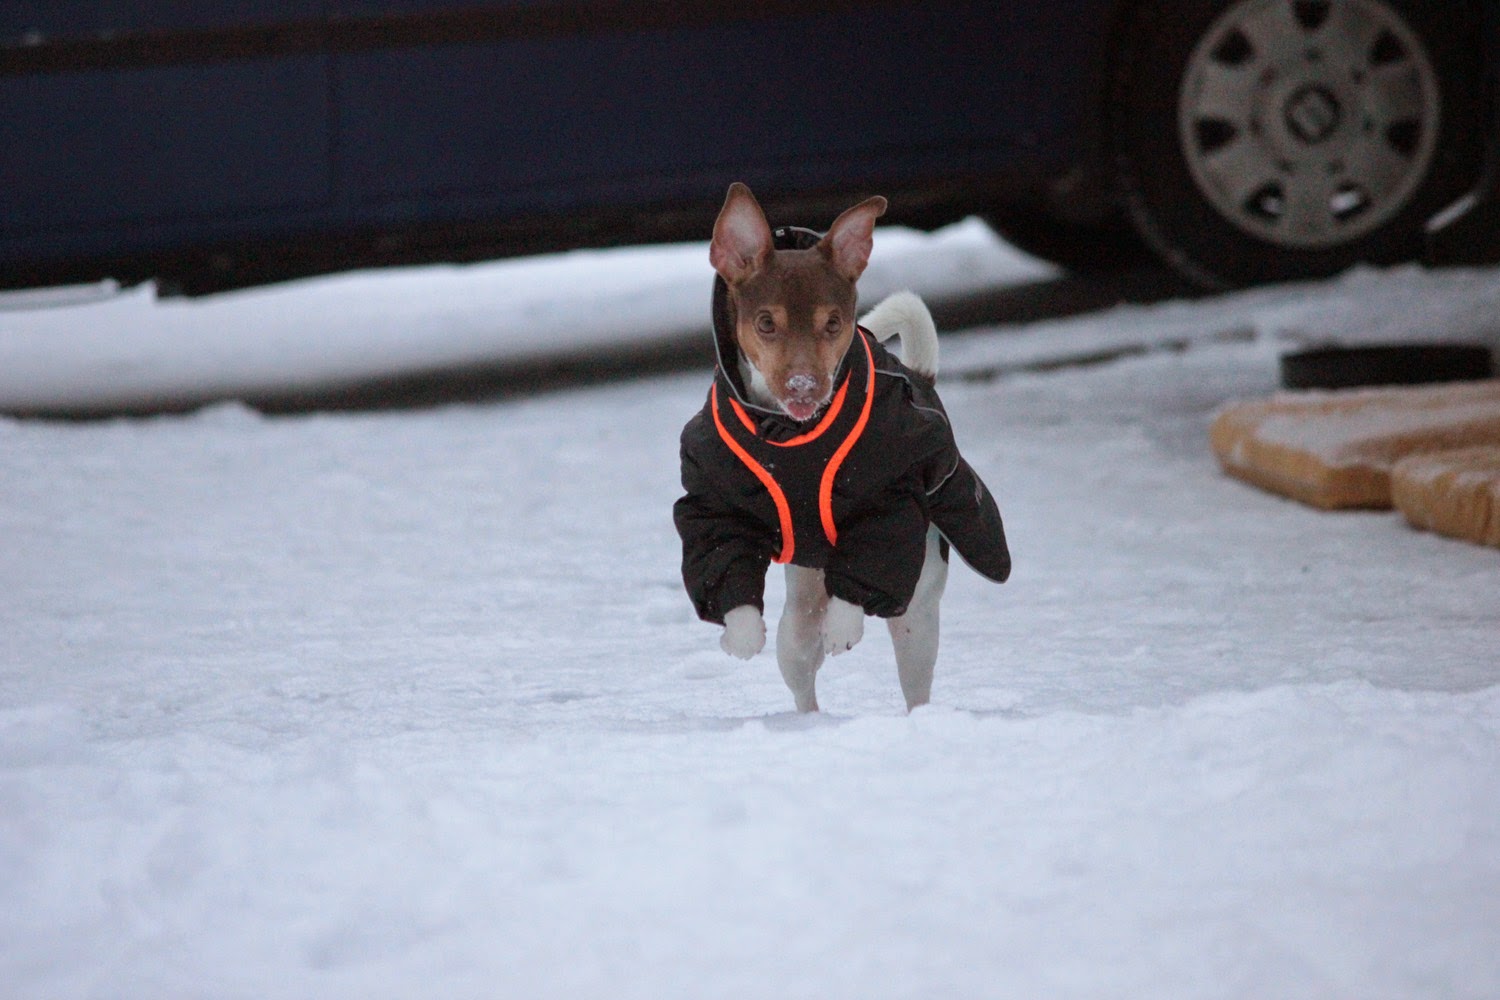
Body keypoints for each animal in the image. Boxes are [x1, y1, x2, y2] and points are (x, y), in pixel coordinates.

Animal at [674, 183, 1010, 712]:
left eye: (834, 324)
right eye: (766, 323)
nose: (804, 387)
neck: (790, 434)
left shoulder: (890, 497)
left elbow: (869, 559)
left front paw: (845, 625)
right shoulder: (715, 499)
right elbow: (723, 551)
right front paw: (741, 634)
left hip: (918, 606)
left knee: (913, 676)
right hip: (798, 618)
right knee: (801, 669)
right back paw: (808, 720)